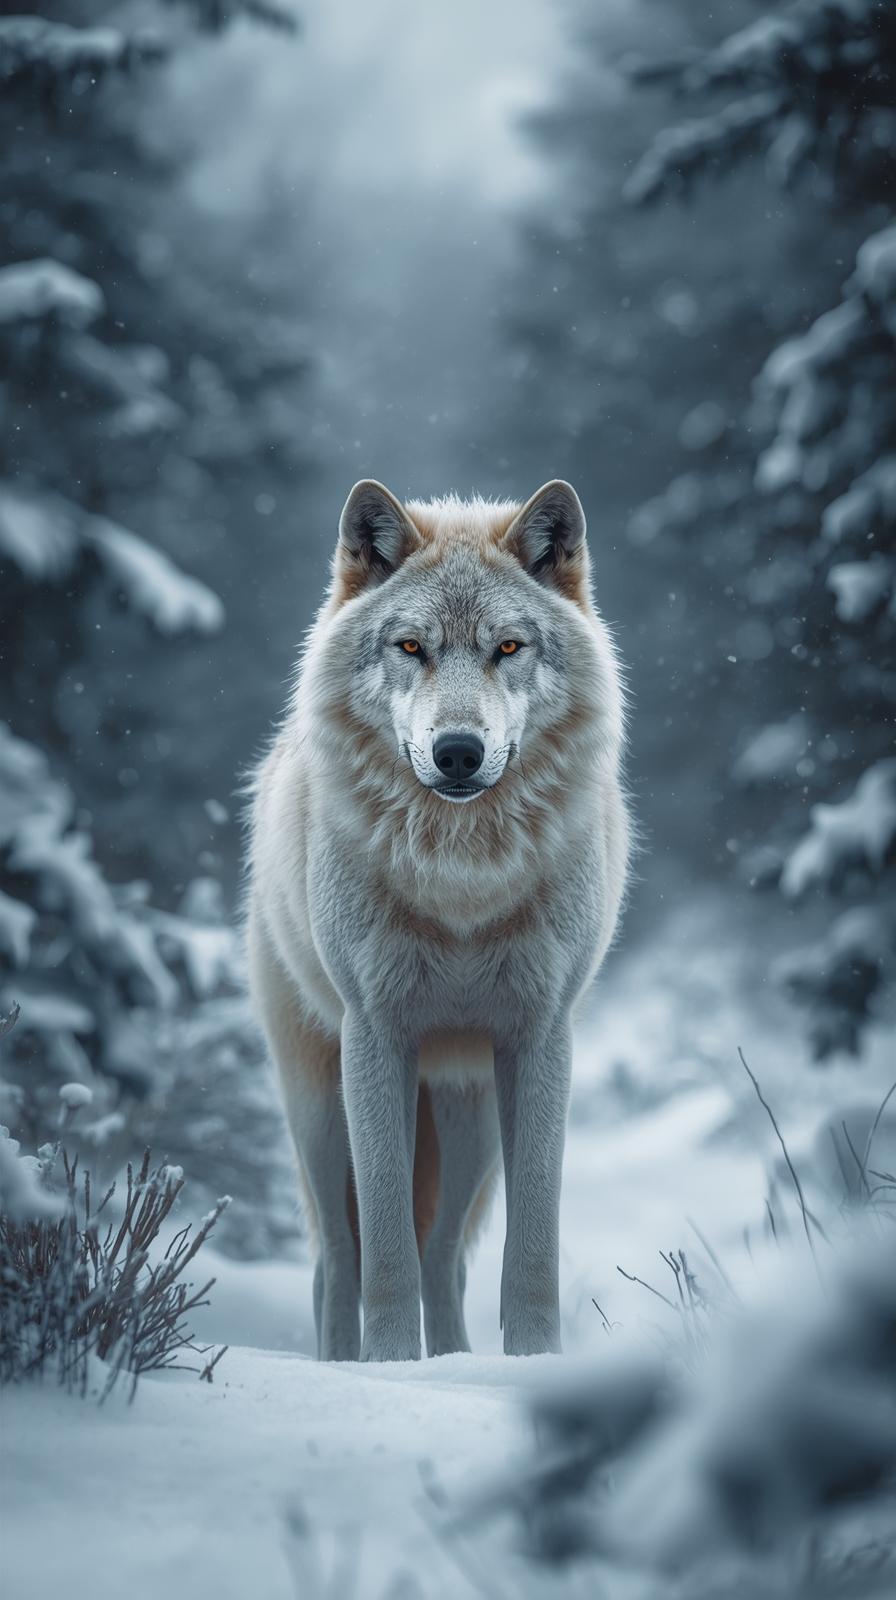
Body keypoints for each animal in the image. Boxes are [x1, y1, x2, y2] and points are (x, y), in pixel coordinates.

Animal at [247, 478, 630, 1362]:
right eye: (412, 647)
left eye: (509, 648)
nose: (458, 750)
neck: (463, 876)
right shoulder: (374, 1034)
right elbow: (383, 1244)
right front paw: (389, 1364)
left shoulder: (541, 1038)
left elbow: (532, 1240)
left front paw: (533, 1364)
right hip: (320, 1112)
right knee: (337, 1258)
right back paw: (344, 1362)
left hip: (470, 1123)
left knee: (443, 1254)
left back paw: (452, 1359)